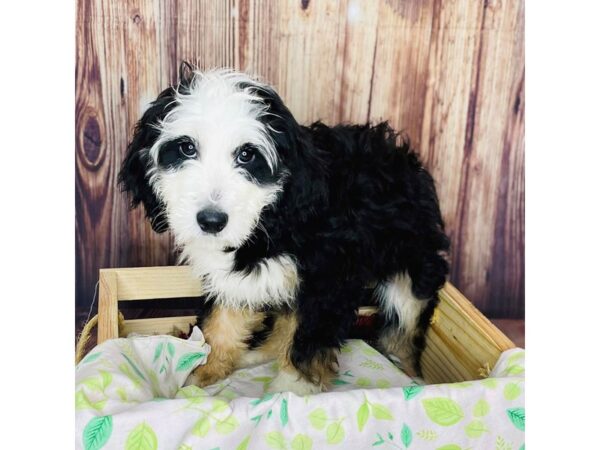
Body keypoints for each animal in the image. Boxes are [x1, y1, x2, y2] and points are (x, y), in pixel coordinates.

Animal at [117, 62, 448, 394]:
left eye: (247, 155)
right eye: (186, 148)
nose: (211, 221)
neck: (273, 218)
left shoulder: (327, 279)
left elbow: (306, 341)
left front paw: (289, 393)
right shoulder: (238, 277)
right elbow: (222, 322)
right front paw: (203, 370)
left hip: (413, 263)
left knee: (404, 324)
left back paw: (410, 375)